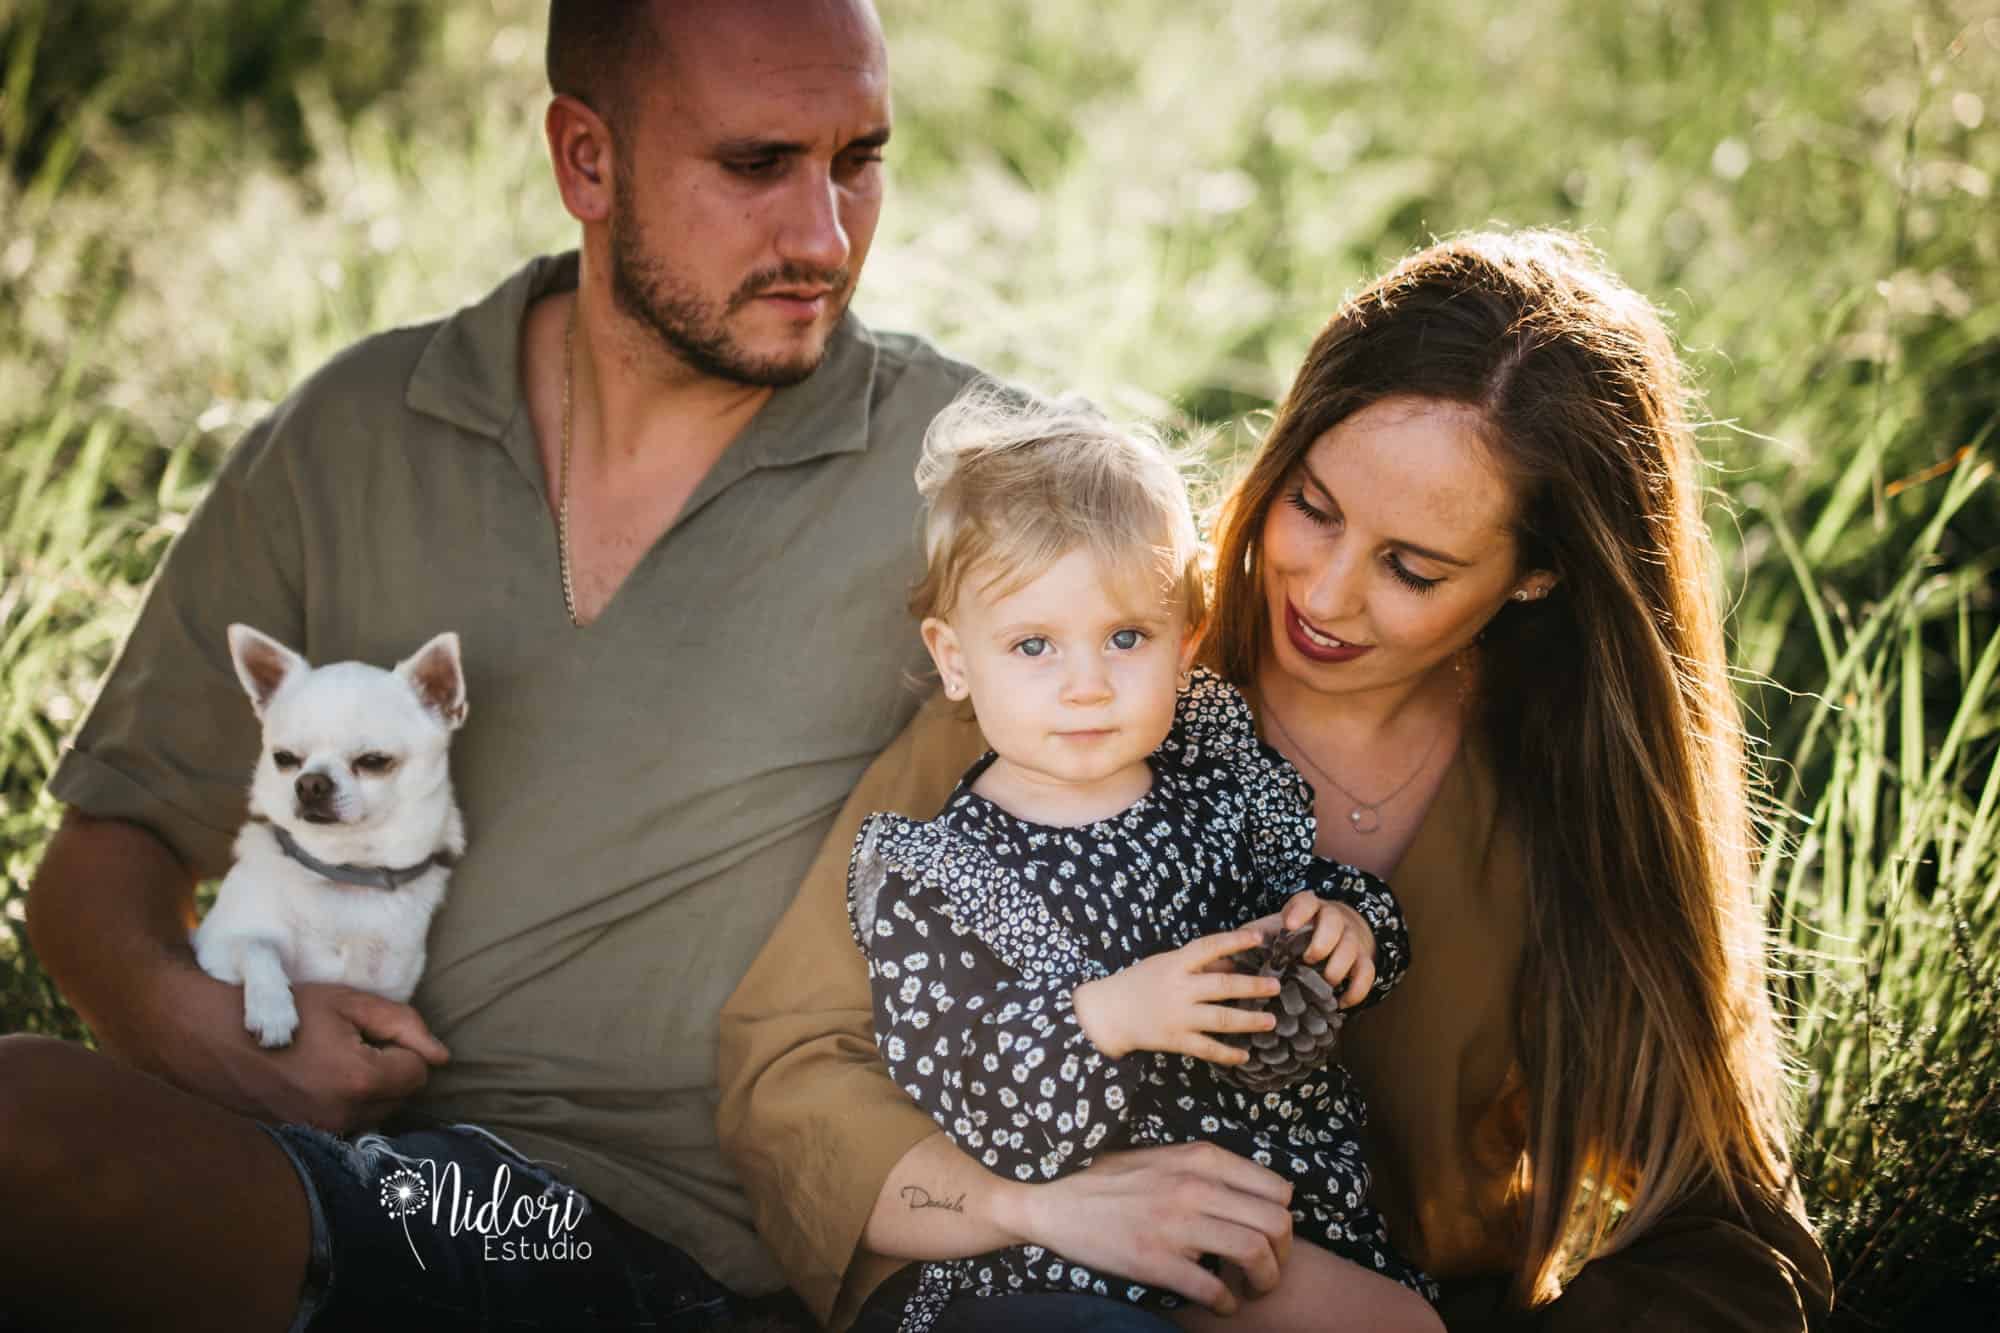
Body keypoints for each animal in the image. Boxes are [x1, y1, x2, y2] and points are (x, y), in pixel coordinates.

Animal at [191, 624, 464, 1048]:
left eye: (373, 761)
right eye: (284, 759)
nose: (310, 783)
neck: (344, 871)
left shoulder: (388, 993)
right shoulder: (212, 948)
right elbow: (255, 945)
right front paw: (272, 1009)